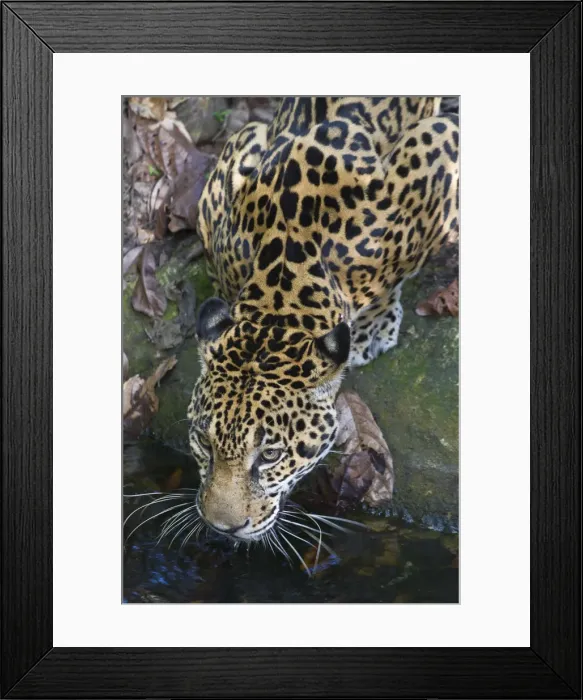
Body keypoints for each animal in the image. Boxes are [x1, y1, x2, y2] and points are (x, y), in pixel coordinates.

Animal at [187, 97, 459, 543]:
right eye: (203, 443)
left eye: (270, 455)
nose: (222, 527)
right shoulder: (233, 164)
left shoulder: (439, 141)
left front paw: (375, 323)